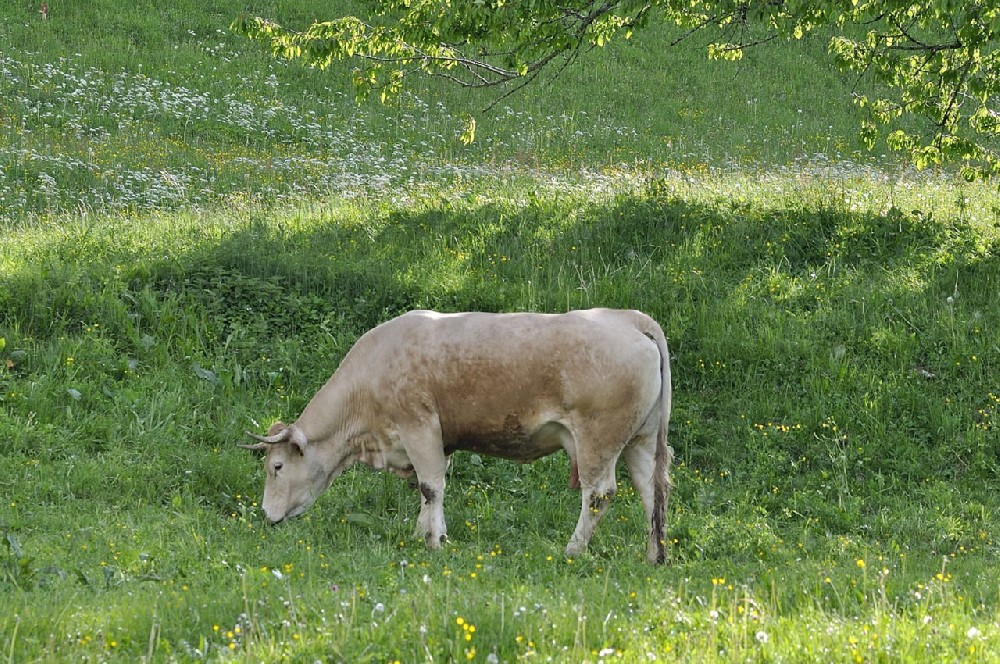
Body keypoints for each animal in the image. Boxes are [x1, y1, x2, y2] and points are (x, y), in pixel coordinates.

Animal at [242, 308, 672, 564]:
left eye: (276, 466)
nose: (266, 515)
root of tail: (627, 318)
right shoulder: (437, 440)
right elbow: (426, 488)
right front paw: (423, 533)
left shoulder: (418, 426)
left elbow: (431, 485)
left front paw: (433, 542)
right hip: (641, 440)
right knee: (651, 490)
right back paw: (654, 555)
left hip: (598, 439)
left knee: (599, 494)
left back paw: (573, 549)